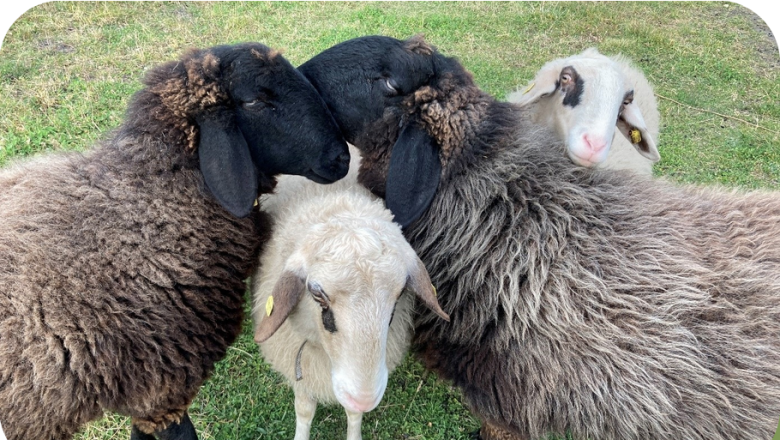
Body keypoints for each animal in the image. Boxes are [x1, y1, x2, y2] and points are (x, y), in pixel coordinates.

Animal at [251, 145, 449, 440]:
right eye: (316, 293)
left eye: (401, 291)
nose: (364, 398)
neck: (337, 201)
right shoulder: (300, 365)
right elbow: (304, 411)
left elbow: (353, 415)